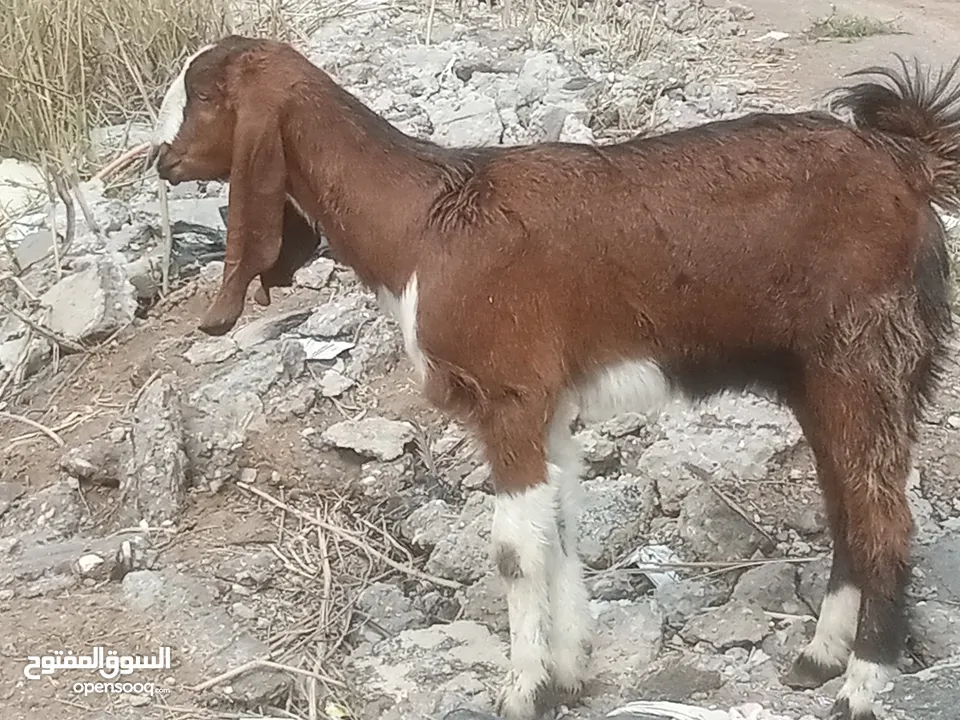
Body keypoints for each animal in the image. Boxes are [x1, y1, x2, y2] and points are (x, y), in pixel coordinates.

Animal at [150, 38, 960, 720]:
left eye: (202, 96)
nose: (161, 161)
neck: (423, 224)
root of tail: (909, 159)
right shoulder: (553, 402)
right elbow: (562, 526)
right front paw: (570, 673)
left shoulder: (508, 394)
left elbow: (515, 550)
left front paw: (522, 691)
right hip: (828, 373)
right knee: (847, 505)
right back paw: (819, 656)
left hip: (863, 356)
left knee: (883, 517)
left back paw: (861, 687)